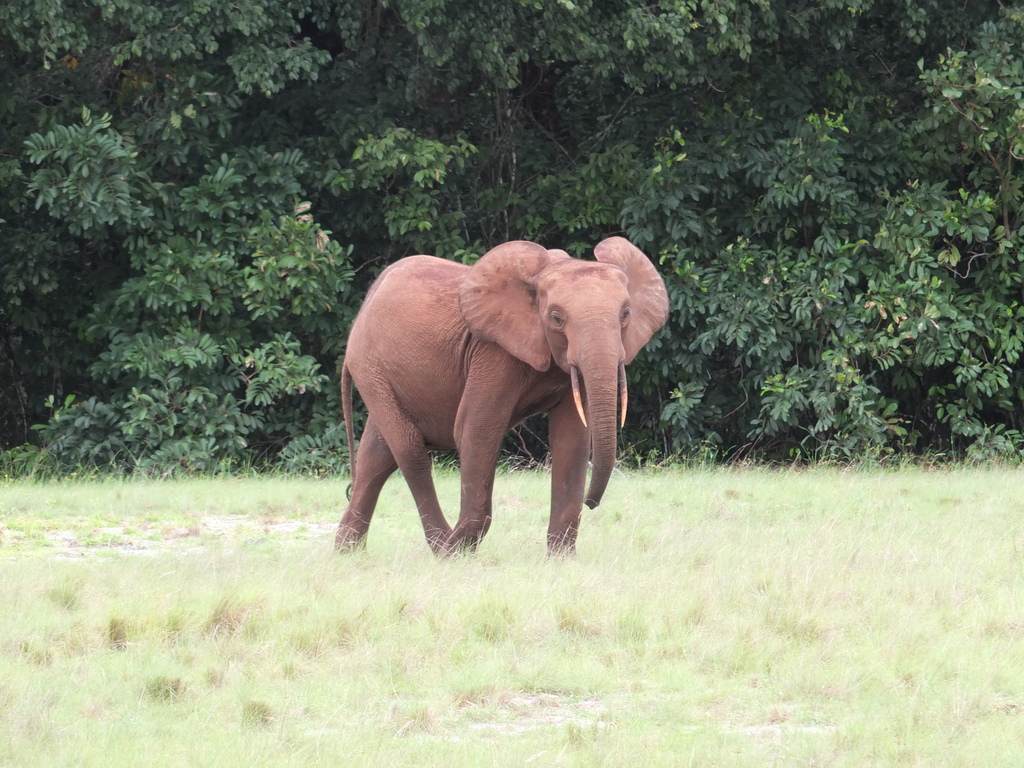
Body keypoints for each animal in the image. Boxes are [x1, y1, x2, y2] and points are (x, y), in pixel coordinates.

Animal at [335, 237, 669, 555]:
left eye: (626, 314)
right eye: (556, 318)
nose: (591, 503)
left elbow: (572, 438)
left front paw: (561, 560)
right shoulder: (493, 353)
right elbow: (476, 431)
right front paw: (461, 554)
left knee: (377, 456)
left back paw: (347, 553)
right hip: (369, 365)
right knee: (409, 451)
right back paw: (443, 549)